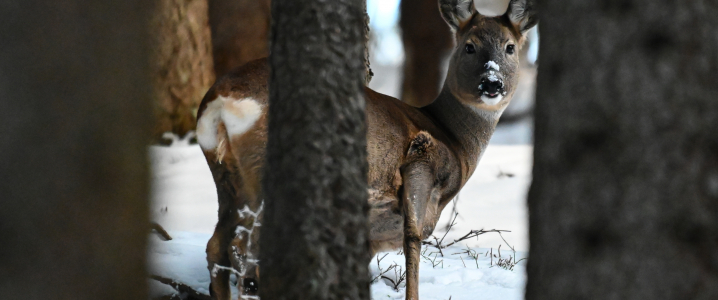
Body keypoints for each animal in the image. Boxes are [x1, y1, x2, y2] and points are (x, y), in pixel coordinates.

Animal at [194, 0, 536, 298]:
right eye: (469, 46)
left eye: (510, 47)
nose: (491, 83)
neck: (454, 139)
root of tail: (221, 100)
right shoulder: (422, 156)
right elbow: (412, 238)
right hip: (267, 167)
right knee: (245, 250)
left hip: (226, 175)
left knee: (218, 245)